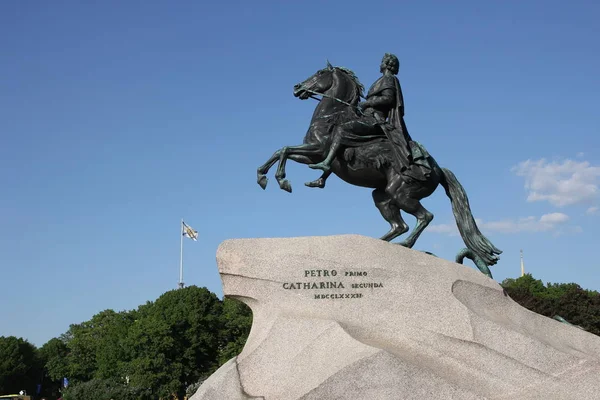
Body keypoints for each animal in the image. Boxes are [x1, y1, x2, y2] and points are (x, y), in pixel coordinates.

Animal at [255, 62, 500, 274]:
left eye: (319, 73)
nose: (297, 88)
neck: (332, 115)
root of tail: (438, 170)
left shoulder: (318, 150)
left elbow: (285, 150)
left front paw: (282, 180)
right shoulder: (309, 154)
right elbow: (280, 151)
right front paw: (263, 176)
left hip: (401, 194)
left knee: (425, 217)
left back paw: (404, 244)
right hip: (382, 196)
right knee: (399, 225)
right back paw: (379, 244)